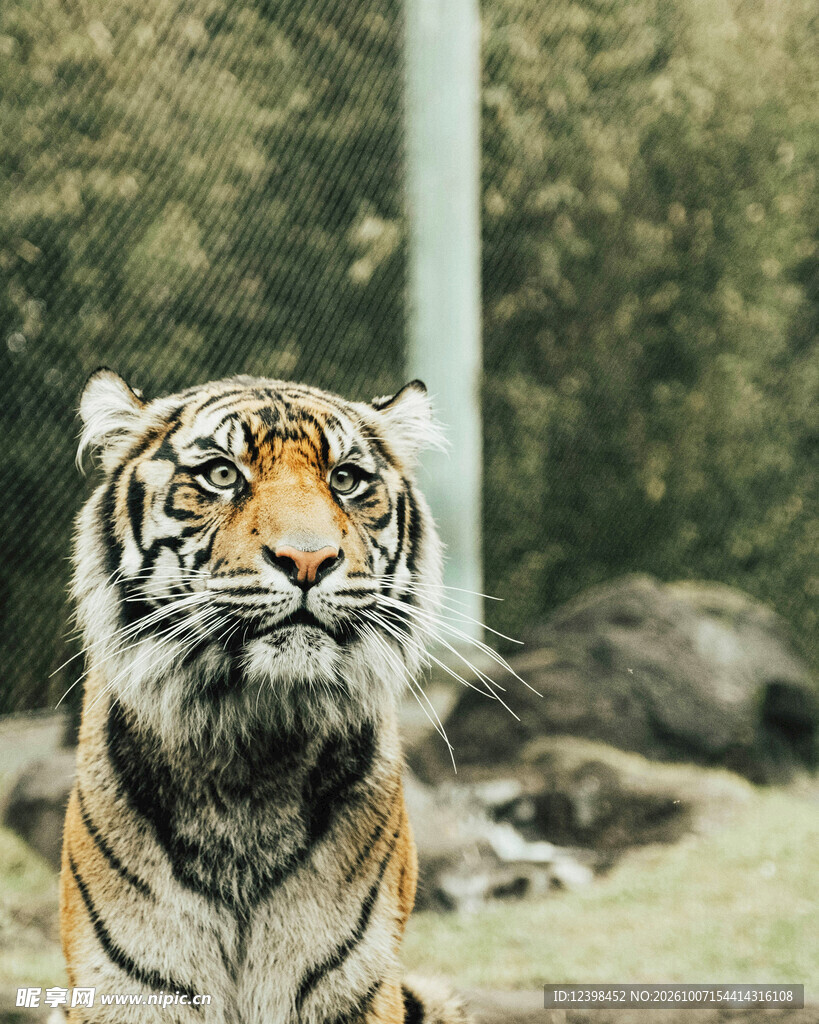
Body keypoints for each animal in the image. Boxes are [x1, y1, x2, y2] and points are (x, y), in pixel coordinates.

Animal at [60, 369, 469, 1024]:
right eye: (222, 475)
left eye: (346, 480)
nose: (308, 558)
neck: (252, 748)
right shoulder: (129, 989)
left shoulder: (355, 985)